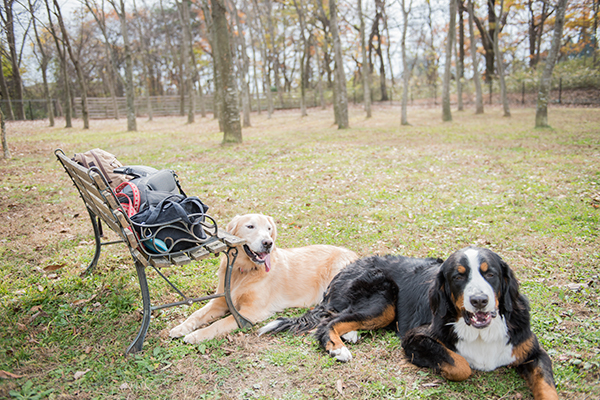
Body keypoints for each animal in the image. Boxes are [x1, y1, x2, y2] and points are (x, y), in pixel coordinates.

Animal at [260, 247, 560, 400]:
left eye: (491, 274)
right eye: (458, 276)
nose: (479, 301)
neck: (481, 332)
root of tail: (345, 269)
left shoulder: (532, 352)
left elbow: (547, 387)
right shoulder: (416, 338)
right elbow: (460, 365)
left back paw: (351, 335)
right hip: (384, 300)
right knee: (328, 322)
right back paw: (337, 347)